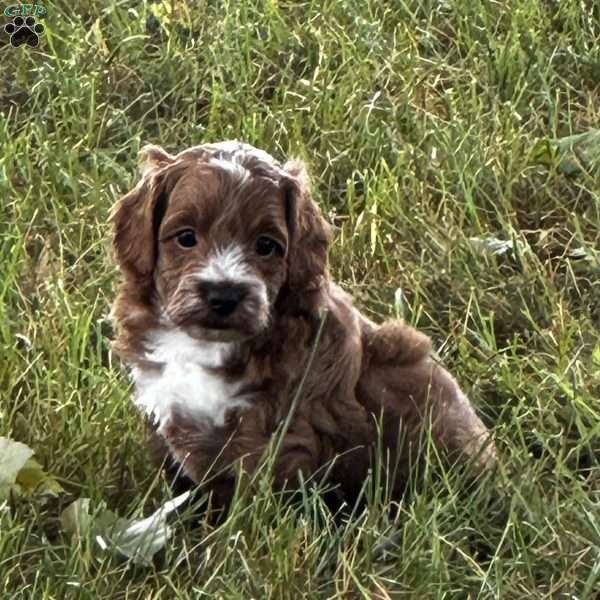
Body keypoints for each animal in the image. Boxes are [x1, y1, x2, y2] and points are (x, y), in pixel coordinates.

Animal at [110, 142, 494, 510]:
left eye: (266, 245)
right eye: (186, 237)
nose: (224, 295)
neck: (207, 344)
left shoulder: (277, 435)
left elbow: (252, 507)